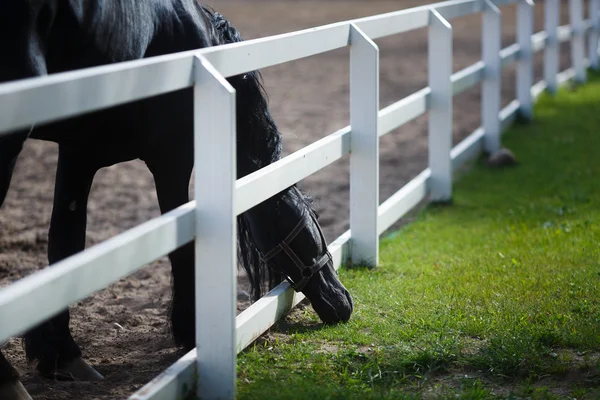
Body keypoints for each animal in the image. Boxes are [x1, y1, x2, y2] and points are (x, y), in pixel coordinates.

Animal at [0, 1, 354, 398]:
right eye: (314, 220)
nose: (343, 302)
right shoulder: (172, 158)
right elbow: (182, 248)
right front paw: (190, 334)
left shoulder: (80, 153)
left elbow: (65, 247)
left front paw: (61, 355)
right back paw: (8, 381)